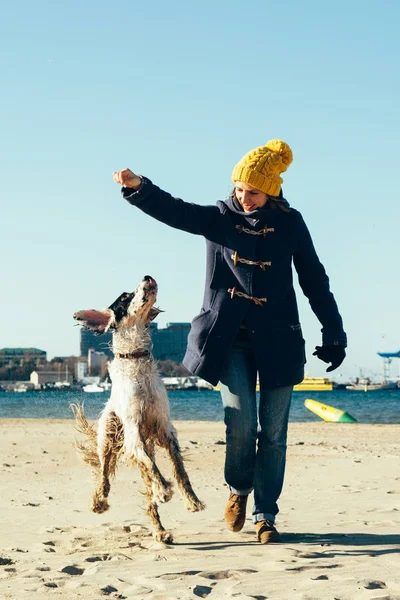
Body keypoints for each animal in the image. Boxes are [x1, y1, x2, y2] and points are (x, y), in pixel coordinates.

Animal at [71, 276, 203, 544]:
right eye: (124, 297)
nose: (147, 277)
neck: (136, 358)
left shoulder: (165, 429)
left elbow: (179, 470)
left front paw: (191, 500)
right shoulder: (133, 432)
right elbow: (154, 469)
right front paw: (164, 490)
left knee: (148, 497)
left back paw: (160, 531)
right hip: (109, 436)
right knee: (104, 474)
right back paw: (99, 501)